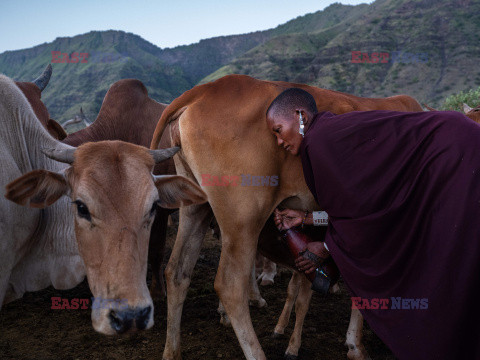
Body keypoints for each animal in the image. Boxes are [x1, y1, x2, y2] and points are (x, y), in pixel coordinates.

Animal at [151, 74, 424, 360]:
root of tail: (205, 89)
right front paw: (357, 345)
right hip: (244, 218)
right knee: (230, 285)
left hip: (196, 207)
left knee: (177, 272)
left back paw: (171, 351)